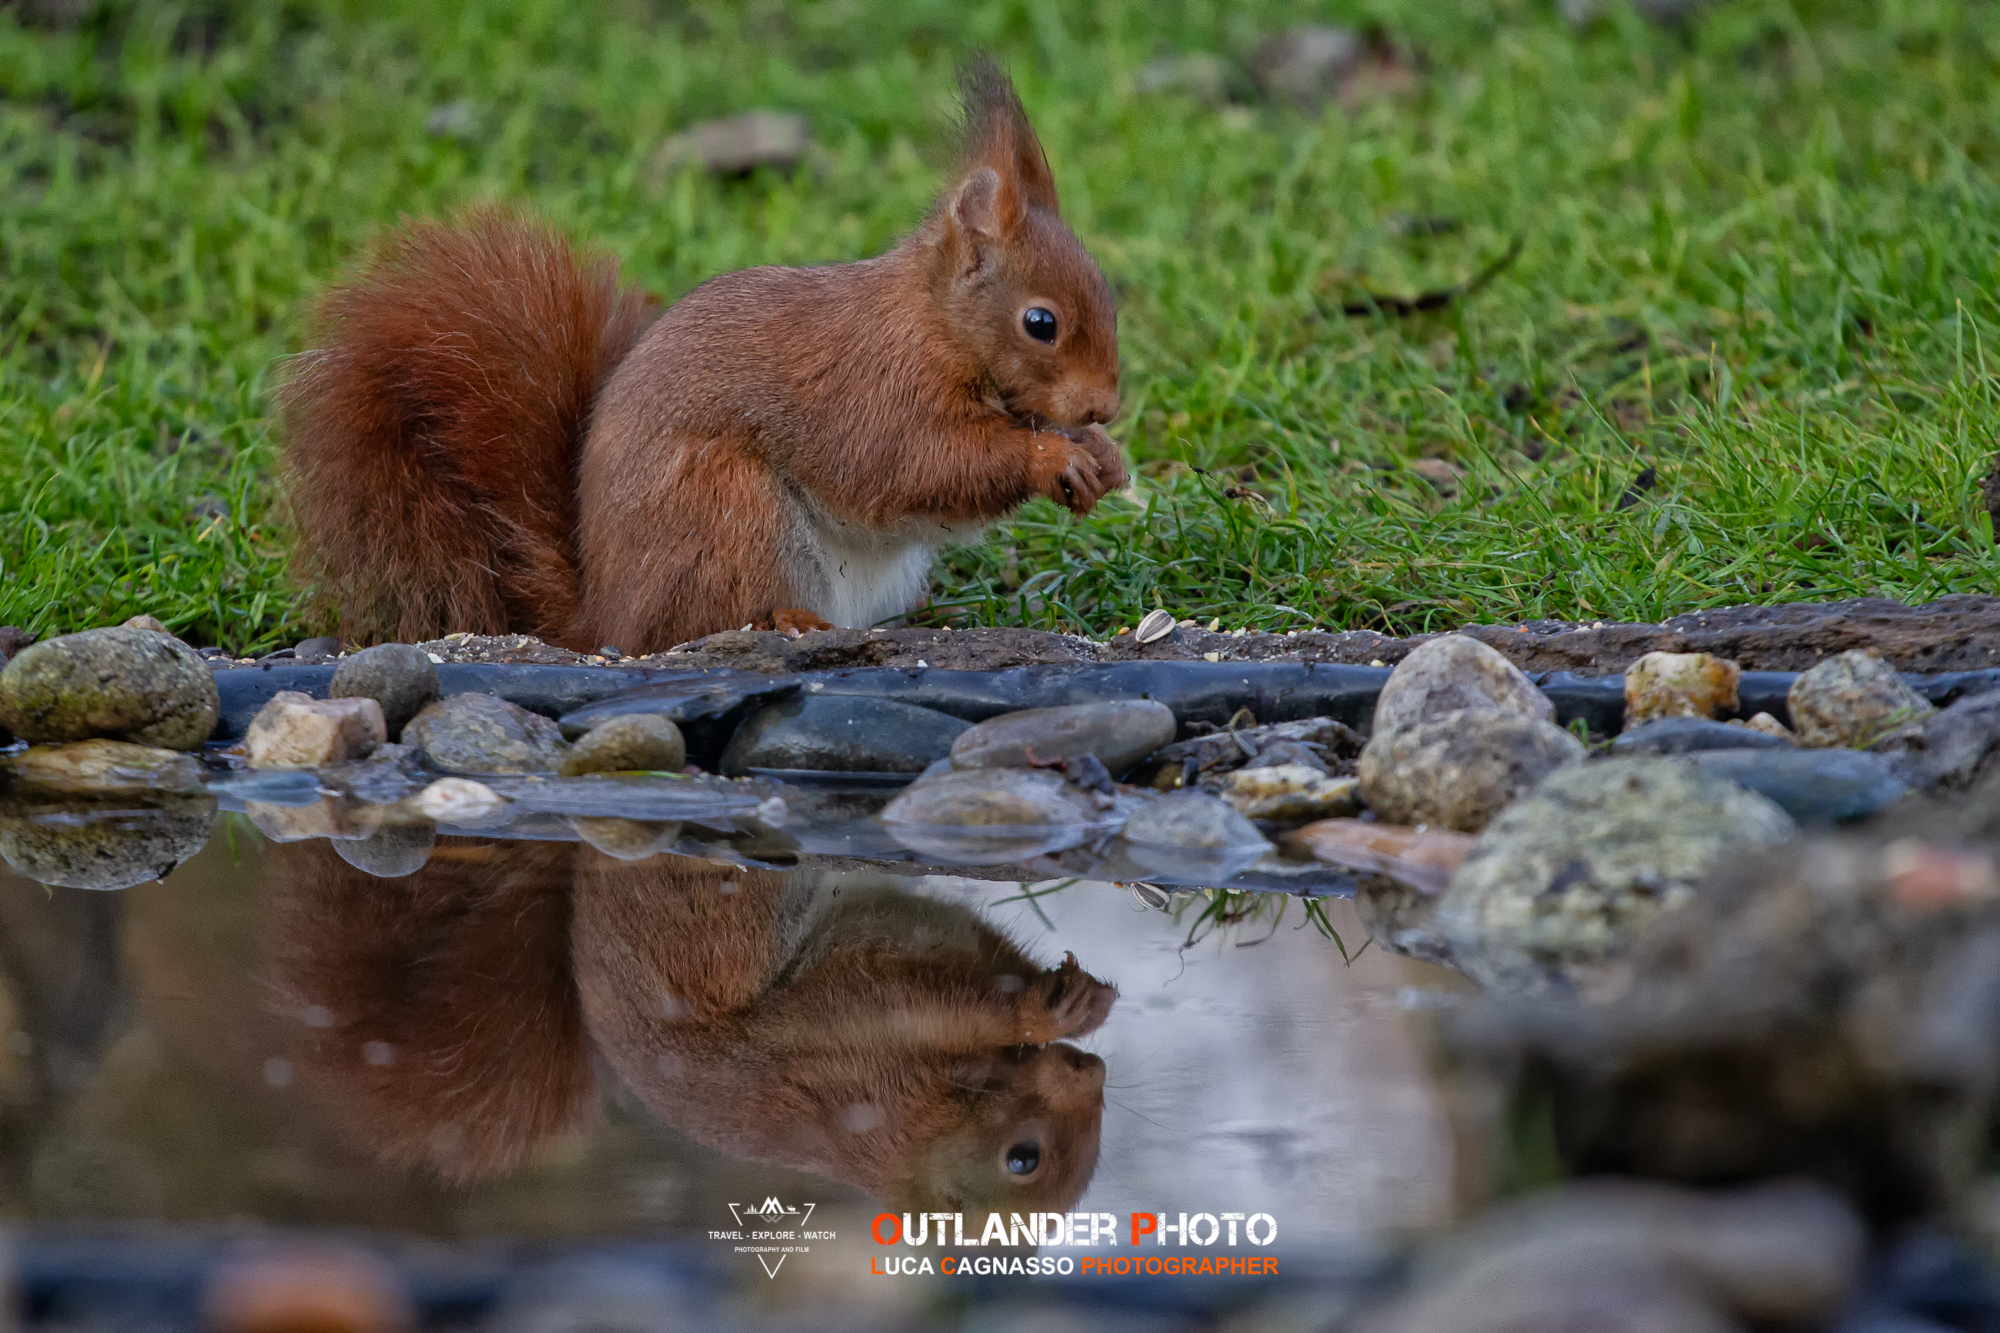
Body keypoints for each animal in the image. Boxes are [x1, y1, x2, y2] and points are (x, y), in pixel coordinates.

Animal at [284, 56, 1126, 656]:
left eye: (1109, 290)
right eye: (1040, 322)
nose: (1106, 406)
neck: (935, 323)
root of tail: (606, 618)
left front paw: (1100, 452)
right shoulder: (875, 389)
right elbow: (915, 463)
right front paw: (1053, 456)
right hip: (727, 510)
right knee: (701, 622)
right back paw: (788, 620)